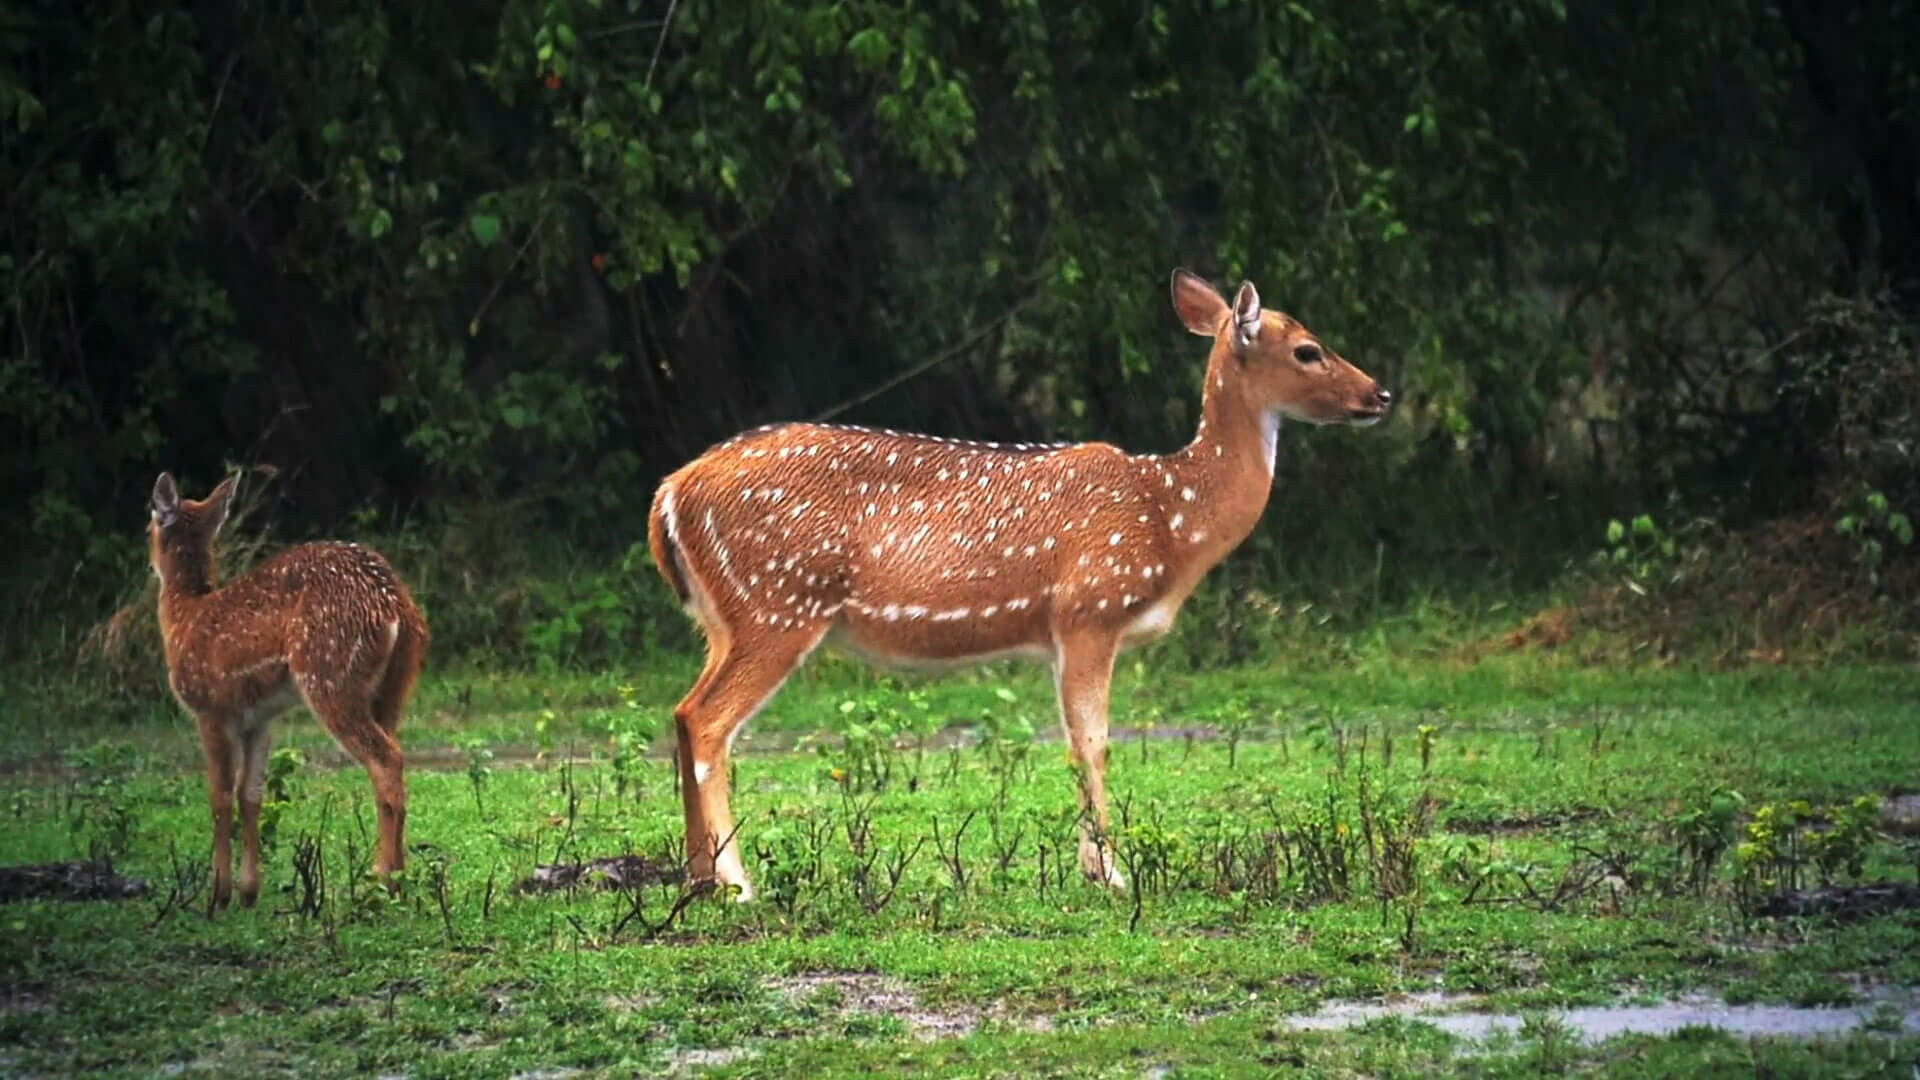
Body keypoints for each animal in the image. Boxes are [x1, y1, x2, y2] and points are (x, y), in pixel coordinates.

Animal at [146, 470, 428, 907]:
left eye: (149, 525)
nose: (148, 560)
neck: (185, 617)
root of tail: (396, 604)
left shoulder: (210, 708)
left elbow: (219, 796)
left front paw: (218, 894)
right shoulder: (259, 718)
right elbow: (251, 794)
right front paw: (248, 891)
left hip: (329, 674)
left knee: (387, 760)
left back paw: (383, 879)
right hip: (395, 686)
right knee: (393, 755)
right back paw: (398, 877)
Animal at [652, 269, 1390, 891]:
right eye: (1308, 350)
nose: (1380, 394)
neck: (1173, 517)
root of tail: (669, 495)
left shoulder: (1062, 633)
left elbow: (1074, 745)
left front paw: (1092, 866)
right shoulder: (1091, 608)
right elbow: (1094, 743)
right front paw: (1112, 874)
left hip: (725, 620)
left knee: (683, 713)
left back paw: (698, 879)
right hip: (778, 603)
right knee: (709, 723)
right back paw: (738, 883)